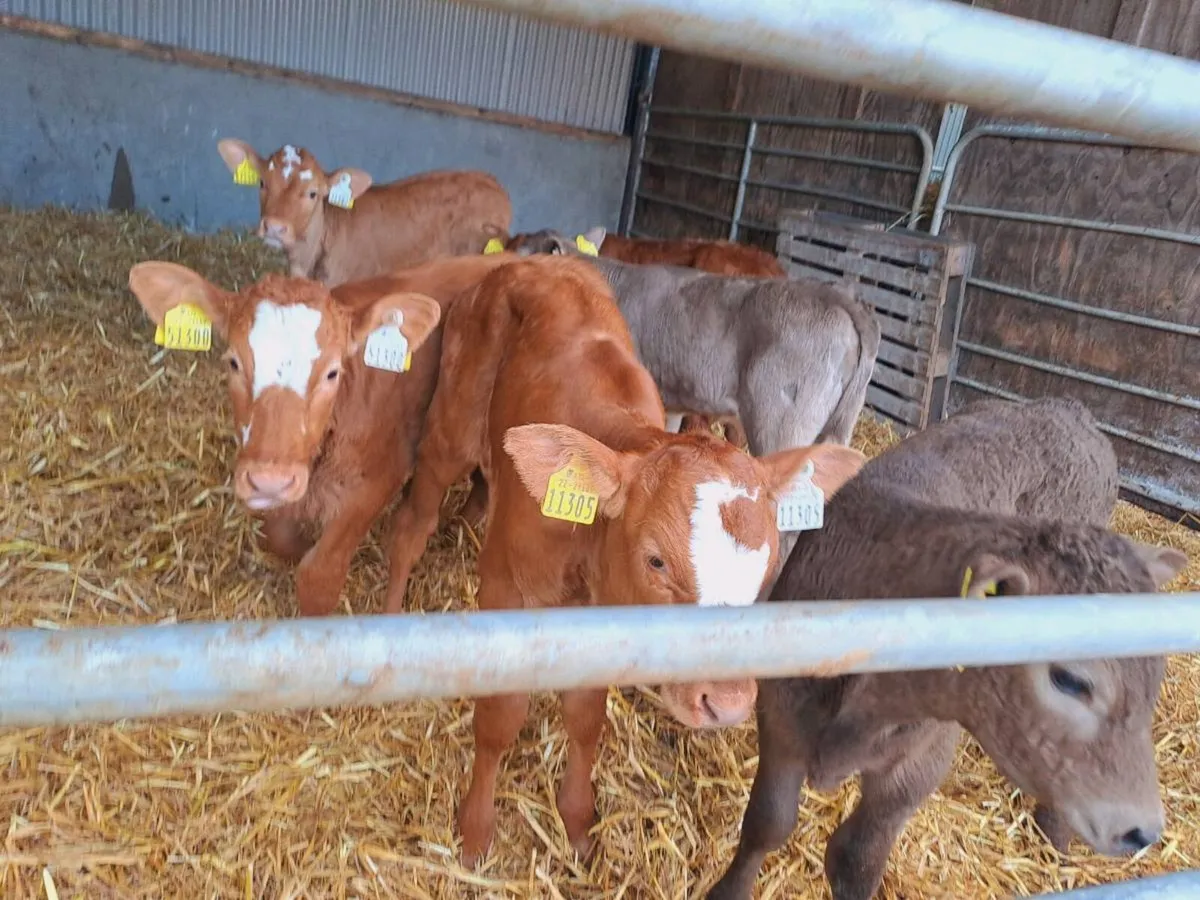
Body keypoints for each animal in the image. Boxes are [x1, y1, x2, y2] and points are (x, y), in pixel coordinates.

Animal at [127, 254, 515, 616]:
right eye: (233, 362)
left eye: (332, 372)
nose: (270, 480)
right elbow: (278, 539)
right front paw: (299, 544)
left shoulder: (378, 479)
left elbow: (320, 573)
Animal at [376, 253, 867, 865]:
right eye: (656, 562)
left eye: (765, 566)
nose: (728, 701)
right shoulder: (507, 587)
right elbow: (501, 716)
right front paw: (475, 832)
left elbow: (587, 718)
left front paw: (577, 824)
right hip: (450, 428)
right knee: (411, 526)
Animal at [706, 396, 1189, 900]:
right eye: (1070, 679)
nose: (1144, 829)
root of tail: (1067, 406)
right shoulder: (781, 718)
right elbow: (768, 823)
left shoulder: (921, 761)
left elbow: (857, 858)